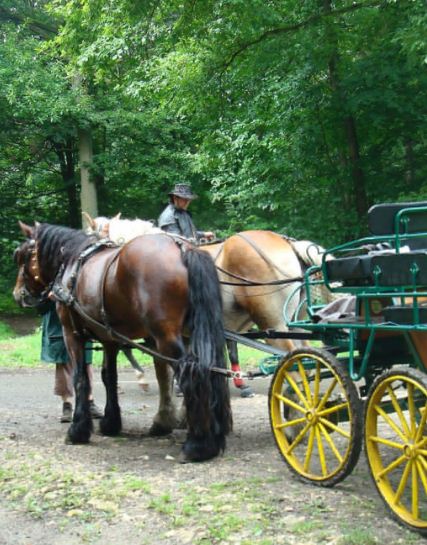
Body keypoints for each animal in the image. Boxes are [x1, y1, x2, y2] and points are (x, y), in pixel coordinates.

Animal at [13, 220, 232, 460]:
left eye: (21, 256)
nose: (18, 294)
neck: (73, 262)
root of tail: (182, 247)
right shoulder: (108, 338)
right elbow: (109, 377)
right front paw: (111, 422)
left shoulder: (72, 334)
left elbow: (81, 378)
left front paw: (78, 430)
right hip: (194, 333)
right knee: (210, 371)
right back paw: (214, 433)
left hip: (166, 338)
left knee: (192, 374)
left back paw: (199, 445)